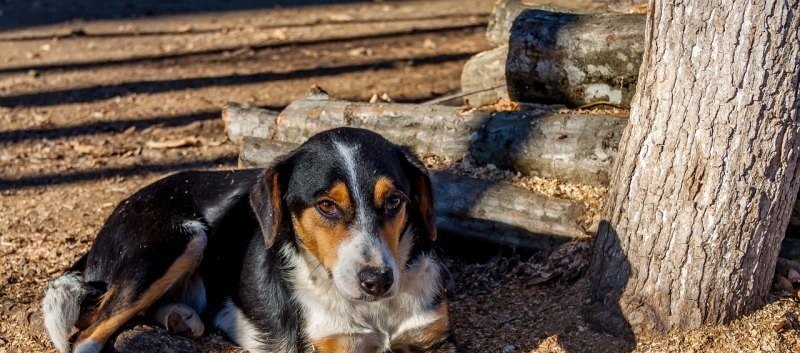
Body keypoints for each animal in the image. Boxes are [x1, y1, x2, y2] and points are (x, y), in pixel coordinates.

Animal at [43, 128, 454, 352]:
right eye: (326, 206)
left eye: (395, 201)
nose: (378, 281)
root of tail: (121, 209)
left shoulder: (433, 339)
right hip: (180, 239)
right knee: (88, 329)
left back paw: (181, 317)